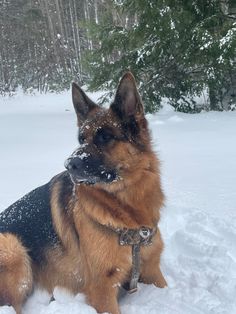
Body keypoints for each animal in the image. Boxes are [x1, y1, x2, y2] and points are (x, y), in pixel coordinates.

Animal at [0, 72, 167, 312]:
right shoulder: (102, 289)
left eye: (105, 137)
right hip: (12, 248)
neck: (127, 210)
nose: (69, 164)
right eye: (81, 139)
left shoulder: (153, 271)